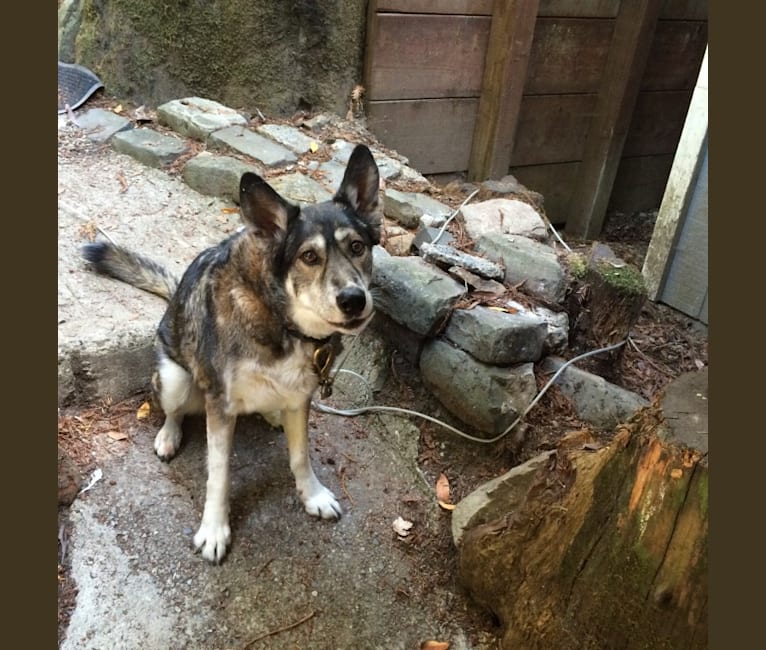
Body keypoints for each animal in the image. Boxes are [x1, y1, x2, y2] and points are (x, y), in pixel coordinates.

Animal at [82, 144, 382, 560]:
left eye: (357, 247)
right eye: (309, 257)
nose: (354, 300)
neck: (280, 321)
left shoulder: (300, 397)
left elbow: (300, 454)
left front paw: (313, 495)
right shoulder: (220, 406)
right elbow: (219, 473)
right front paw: (214, 530)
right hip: (174, 378)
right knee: (173, 411)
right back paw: (168, 436)